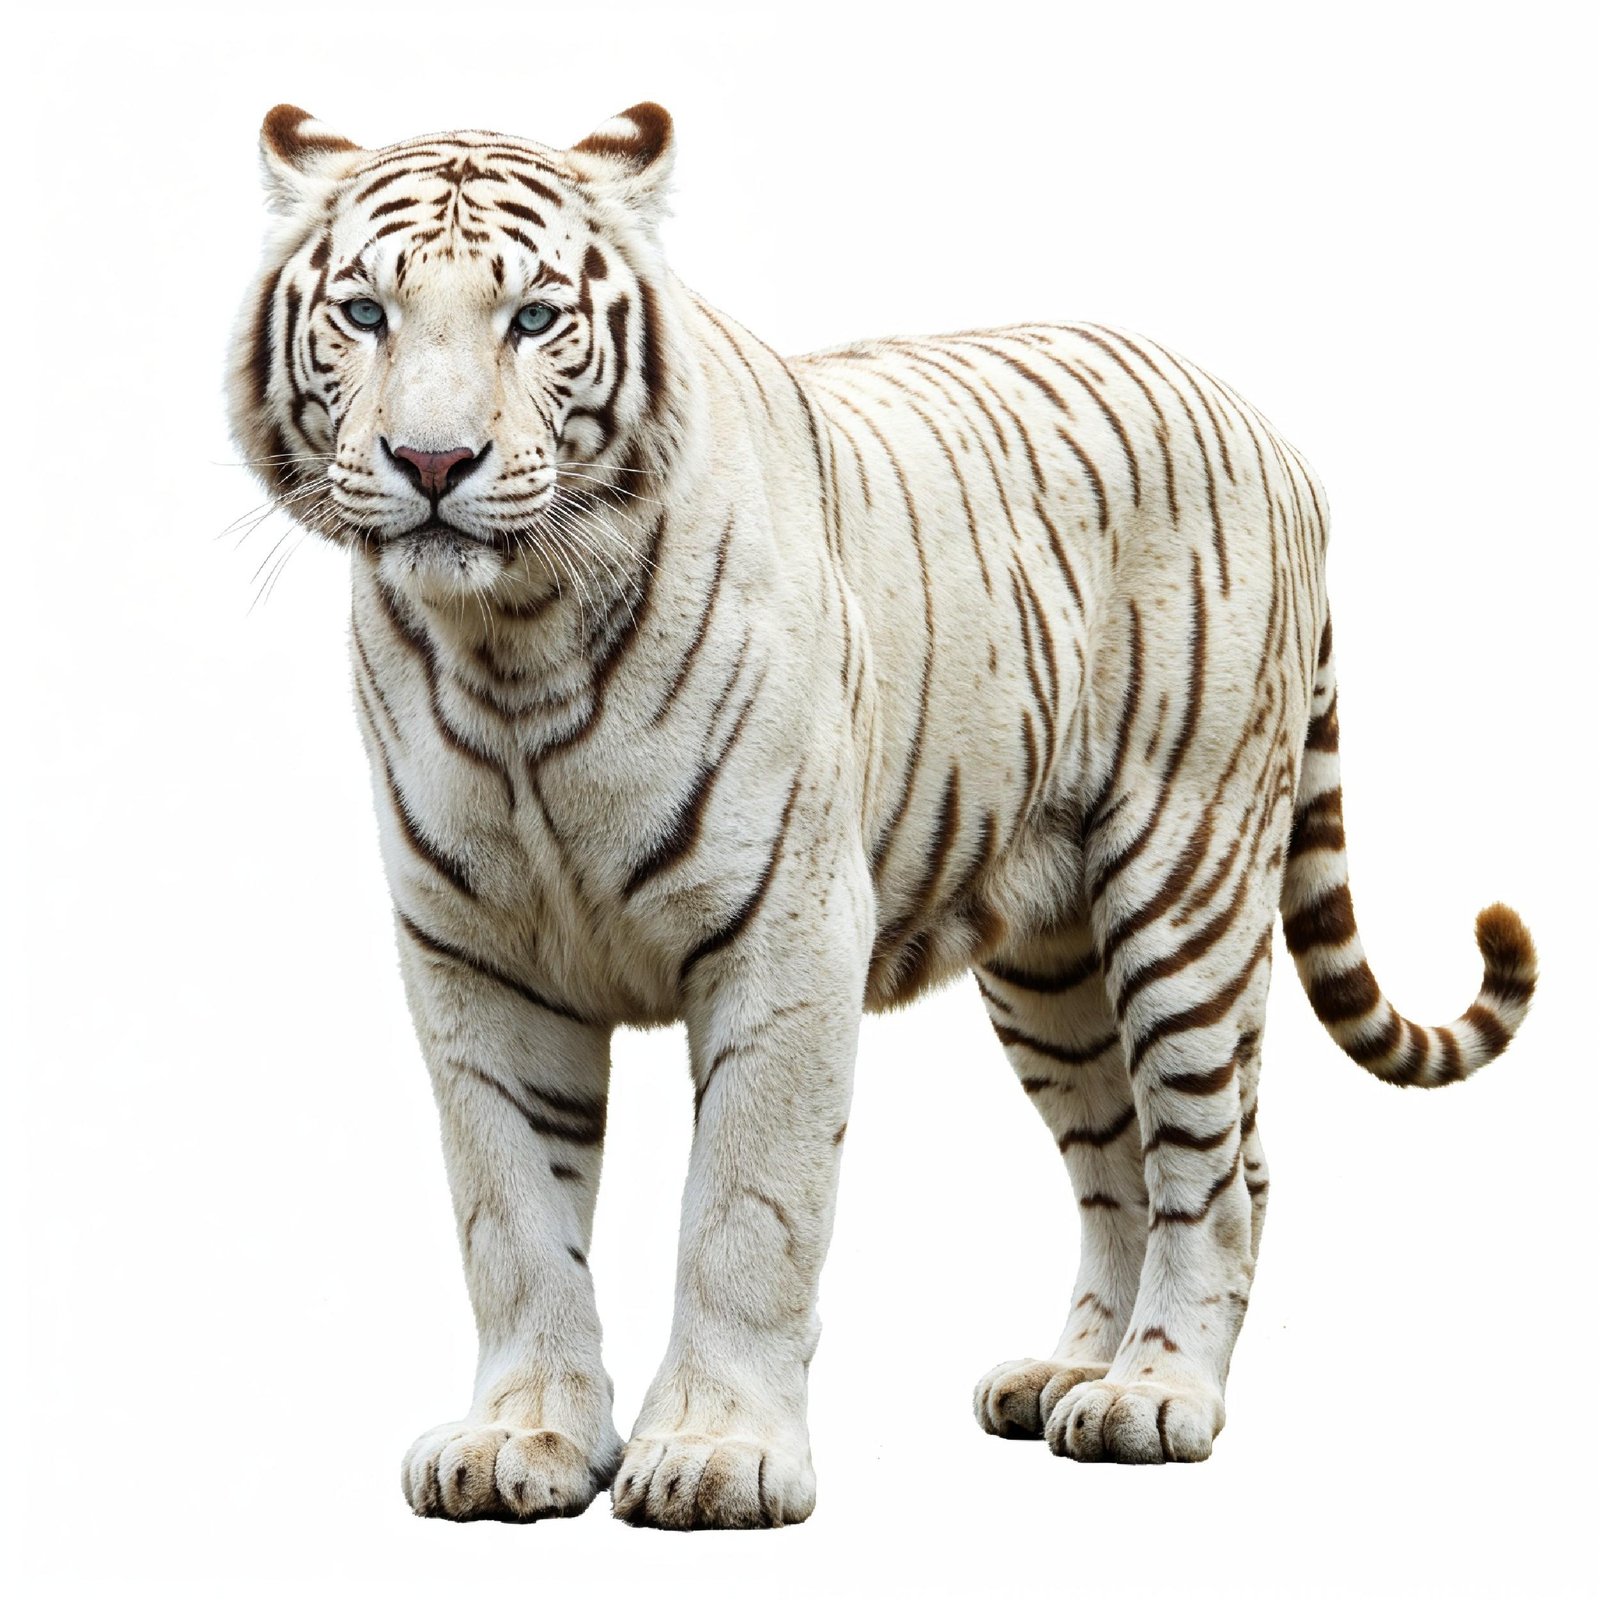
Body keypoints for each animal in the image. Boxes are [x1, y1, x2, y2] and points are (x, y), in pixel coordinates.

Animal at [228, 100, 1537, 1529]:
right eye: (363, 312)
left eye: (532, 319)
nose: (431, 461)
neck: (511, 642)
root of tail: (1269, 431)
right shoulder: (472, 955)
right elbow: (510, 1218)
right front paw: (521, 1438)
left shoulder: (784, 933)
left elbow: (745, 1209)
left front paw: (715, 1455)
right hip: (1051, 961)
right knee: (1122, 1161)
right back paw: (1068, 1374)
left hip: (1185, 884)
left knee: (1217, 1165)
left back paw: (1154, 1394)